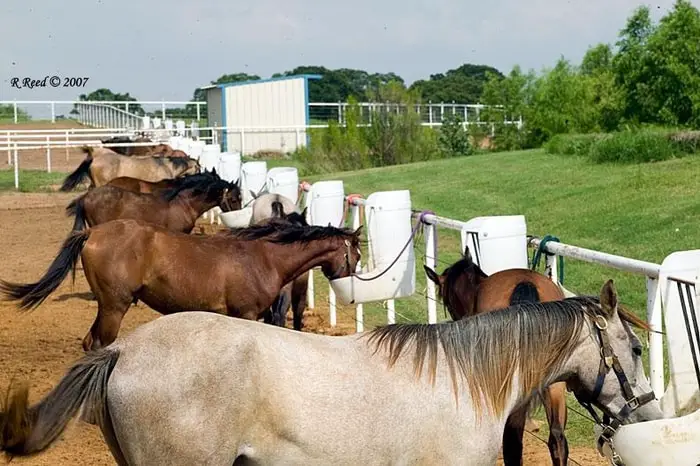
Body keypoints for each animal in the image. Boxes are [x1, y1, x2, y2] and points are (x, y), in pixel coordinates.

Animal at [0, 220, 360, 352]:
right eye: (356, 254)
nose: (351, 293)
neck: (262, 256)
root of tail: (93, 232)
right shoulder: (245, 314)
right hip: (114, 307)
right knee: (99, 344)